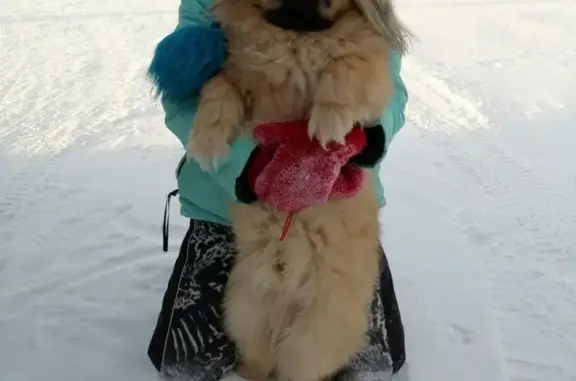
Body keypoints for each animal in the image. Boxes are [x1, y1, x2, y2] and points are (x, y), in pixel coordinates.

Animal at [187, 0, 408, 378]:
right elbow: (219, 87)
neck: (294, 43)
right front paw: (207, 138)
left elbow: (349, 66)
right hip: (246, 313)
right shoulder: (236, 74)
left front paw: (329, 120)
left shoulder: (370, 71)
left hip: (314, 336)